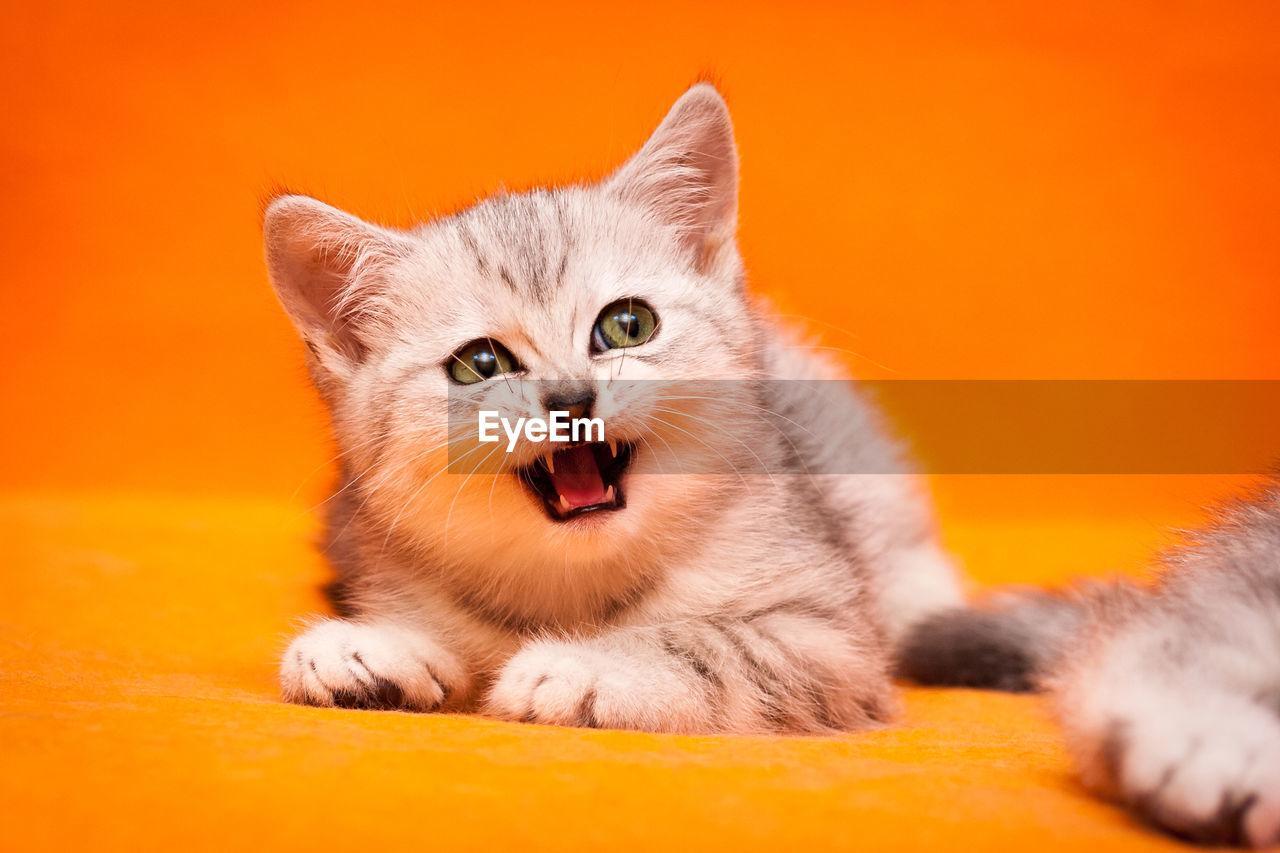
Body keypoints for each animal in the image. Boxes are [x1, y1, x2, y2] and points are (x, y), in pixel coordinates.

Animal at [262, 83, 962, 732]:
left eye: (629, 325)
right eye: (480, 365)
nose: (571, 399)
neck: (574, 584)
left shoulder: (832, 640)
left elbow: (709, 644)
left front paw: (583, 666)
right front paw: (366, 648)